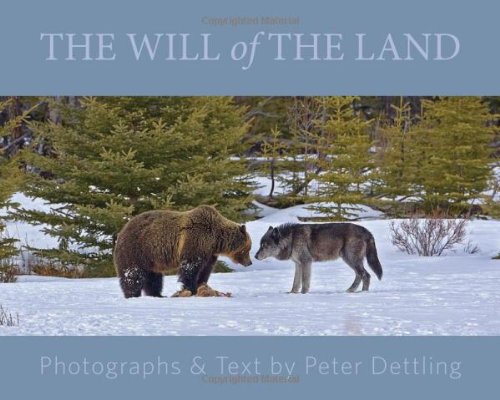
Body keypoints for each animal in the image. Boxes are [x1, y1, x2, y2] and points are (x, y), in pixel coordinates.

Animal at [114, 206, 252, 296]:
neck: (215, 239)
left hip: (151, 259)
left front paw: (201, 285)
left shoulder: (209, 253)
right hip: (136, 250)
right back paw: (132, 294)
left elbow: (205, 270)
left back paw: (158, 294)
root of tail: (122, 230)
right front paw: (190, 288)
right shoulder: (196, 240)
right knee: (133, 274)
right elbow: (190, 267)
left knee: (154, 277)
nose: (249, 262)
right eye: (248, 249)